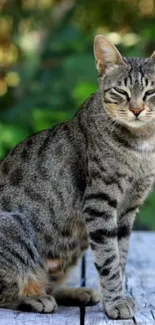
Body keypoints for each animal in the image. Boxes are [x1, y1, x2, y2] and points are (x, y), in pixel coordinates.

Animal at [0, 33, 155, 318]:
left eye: (150, 92)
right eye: (121, 91)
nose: (137, 110)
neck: (143, 144)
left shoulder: (128, 208)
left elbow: (121, 255)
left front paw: (116, 296)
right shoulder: (99, 202)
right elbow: (108, 258)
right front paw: (116, 302)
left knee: (49, 282)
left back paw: (76, 292)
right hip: (15, 231)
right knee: (10, 288)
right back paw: (35, 298)